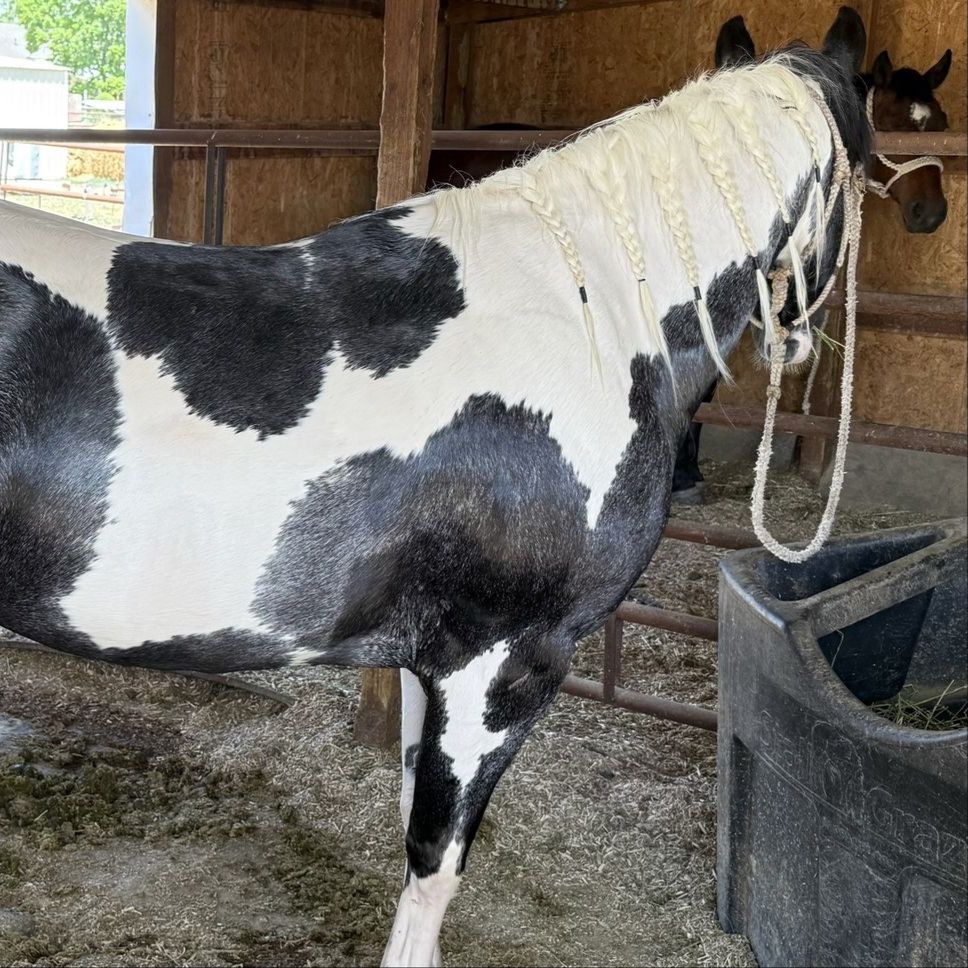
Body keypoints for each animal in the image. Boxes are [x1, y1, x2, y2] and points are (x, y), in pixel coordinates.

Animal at [0, 7, 870, 965]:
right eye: (868, 170)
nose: (800, 341)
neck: (589, 314)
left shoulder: (435, 662)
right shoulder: (504, 661)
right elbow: (435, 860)